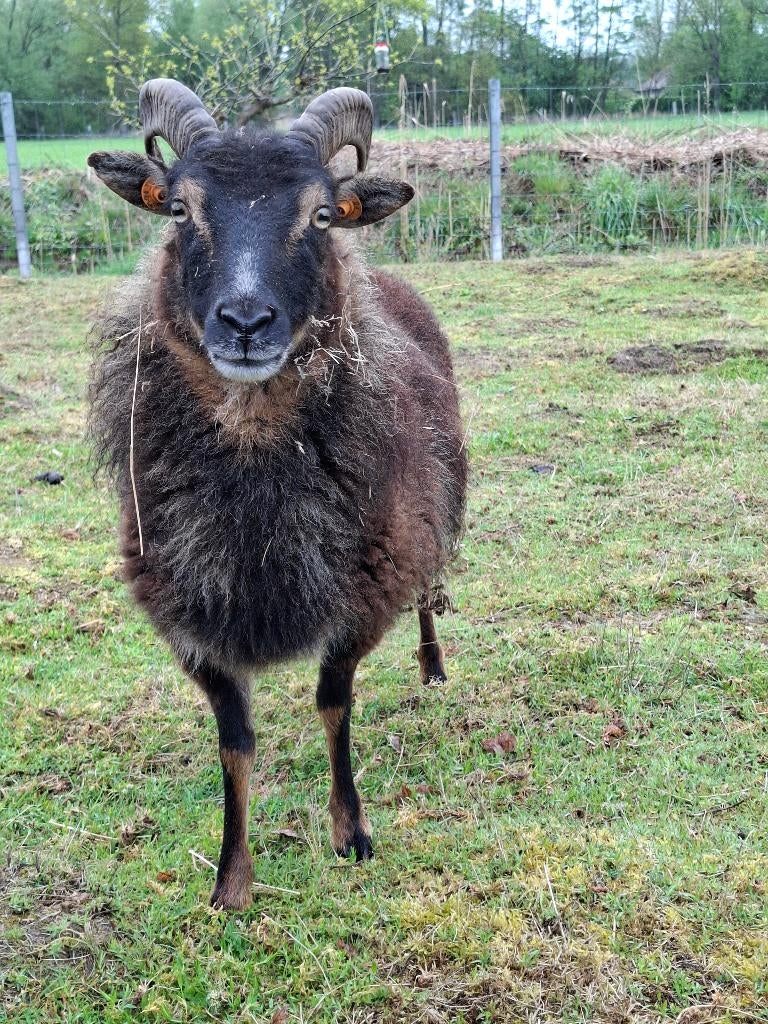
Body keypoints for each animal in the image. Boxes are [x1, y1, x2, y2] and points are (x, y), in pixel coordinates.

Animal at [87, 79, 467, 910]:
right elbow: (235, 743)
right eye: (178, 210)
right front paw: (232, 880)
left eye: (322, 215)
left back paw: (431, 666)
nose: (245, 321)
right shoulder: (187, 617)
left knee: (429, 592)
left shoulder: (364, 589)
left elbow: (333, 705)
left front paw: (350, 834)